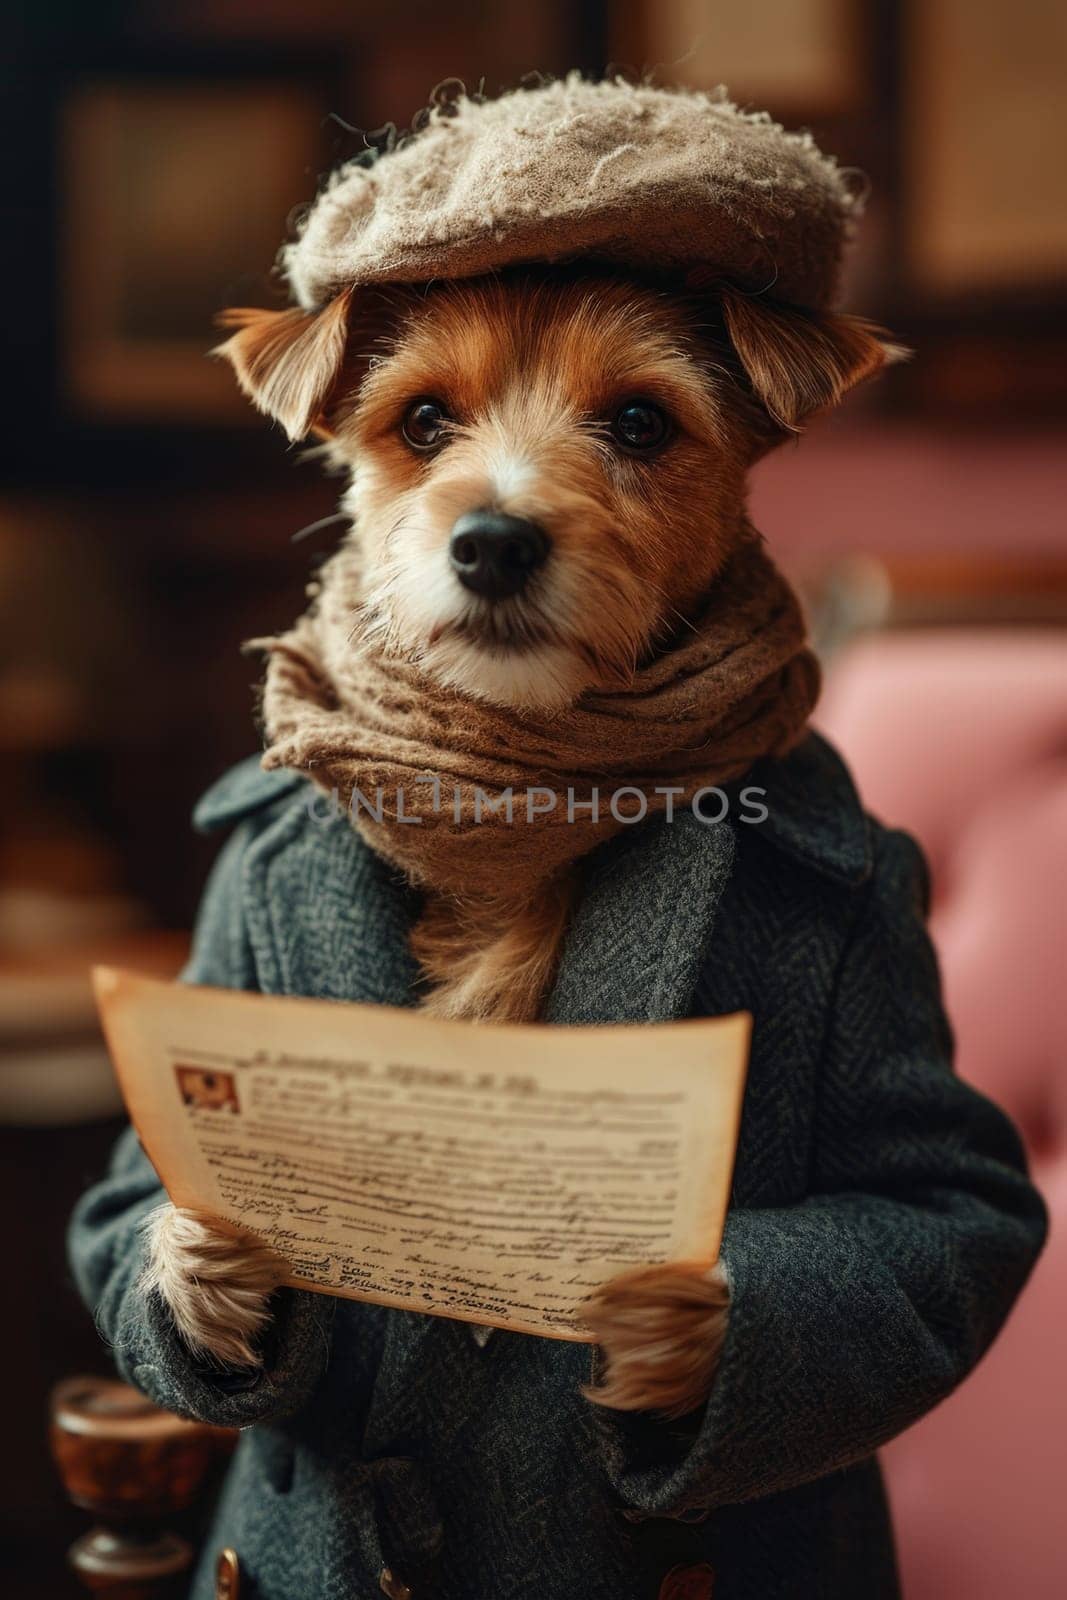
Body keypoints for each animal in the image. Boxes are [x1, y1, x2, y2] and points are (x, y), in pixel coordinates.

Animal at [139, 268, 895, 1420]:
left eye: (639, 422)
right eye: (421, 421)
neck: (508, 800)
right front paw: (207, 1253)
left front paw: (662, 1320)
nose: (492, 540)